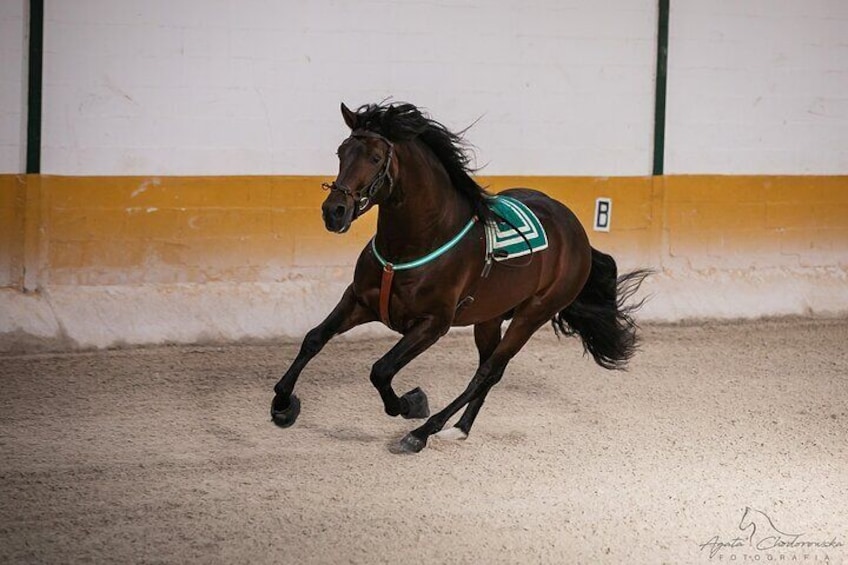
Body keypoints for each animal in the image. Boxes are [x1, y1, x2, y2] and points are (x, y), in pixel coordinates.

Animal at [272, 102, 648, 454]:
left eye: (376, 157)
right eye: (341, 152)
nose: (334, 212)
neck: (410, 247)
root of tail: (576, 232)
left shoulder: (432, 324)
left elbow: (381, 369)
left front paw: (411, 404)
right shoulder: (360, 300)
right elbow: (314, 338)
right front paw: (282, 403)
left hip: (532, 315)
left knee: (487, 373)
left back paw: (424, 431)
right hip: (490, 317)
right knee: (488, 370)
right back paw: (460, 428)